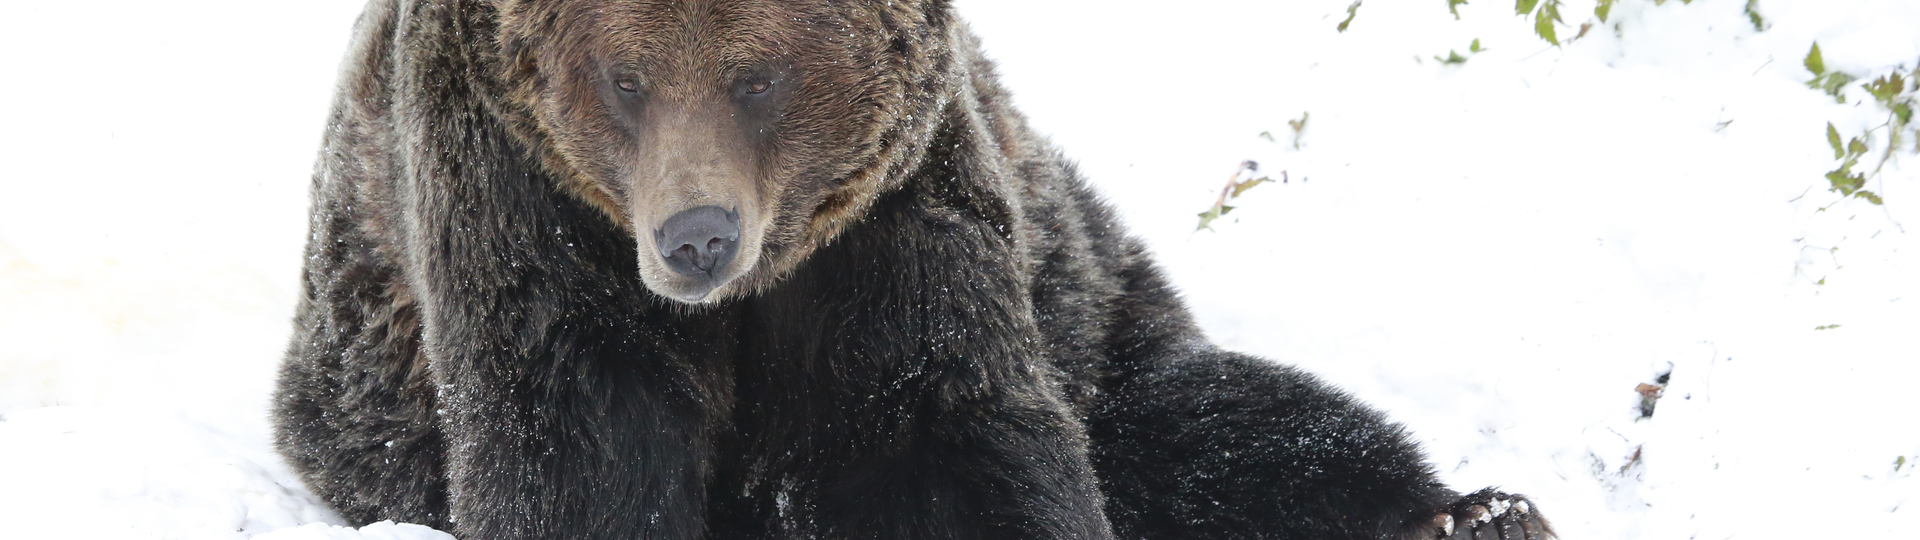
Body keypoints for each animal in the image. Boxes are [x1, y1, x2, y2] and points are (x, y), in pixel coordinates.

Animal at [272, 0, 1556, 539]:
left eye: (759, 77)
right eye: (623, 80)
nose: (696, 238)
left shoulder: (887, 223)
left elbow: (937, 426)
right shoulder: (520, 198)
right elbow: (577, 441)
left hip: (1084, 293)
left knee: (1226, 424)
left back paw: (1475, 514)